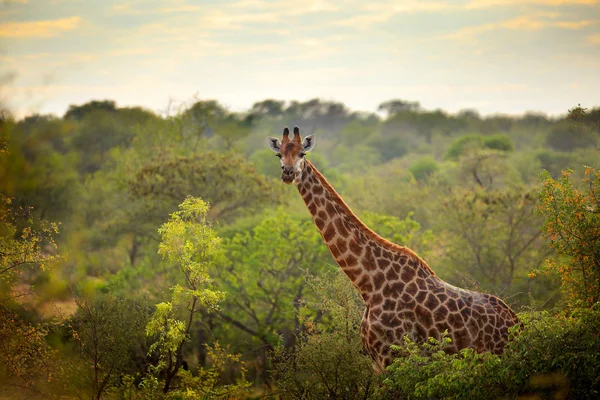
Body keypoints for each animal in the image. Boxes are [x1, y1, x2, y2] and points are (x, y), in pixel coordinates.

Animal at [268, 126, 520, 370]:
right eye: (279, 154)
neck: (369, 284)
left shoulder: (393, 356)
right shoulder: (376, 362)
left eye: (302, 154)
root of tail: (517, 322)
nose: (288, 173)